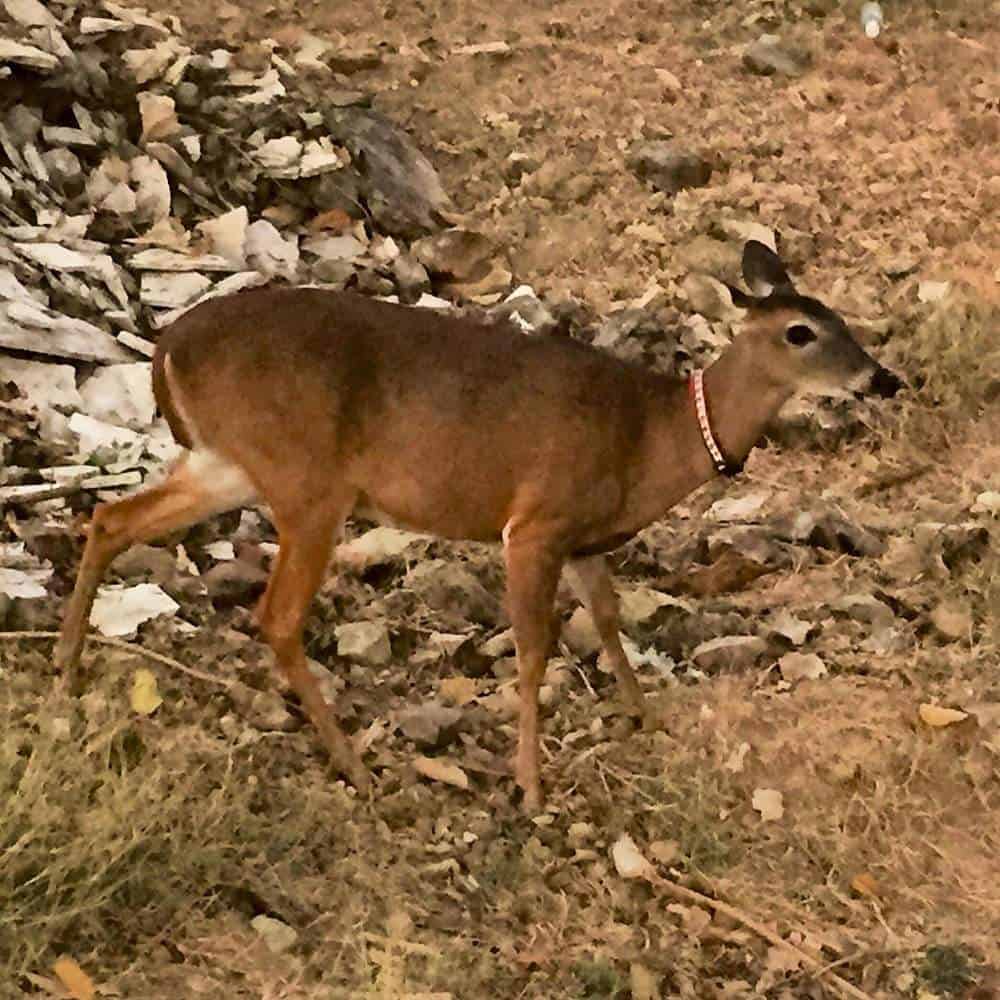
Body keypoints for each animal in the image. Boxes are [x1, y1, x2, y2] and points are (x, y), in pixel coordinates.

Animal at [52, 240, 900, 812]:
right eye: (800, 332)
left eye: (840, 317)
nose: (884, 378)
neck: (651, 438)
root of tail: (167, 346)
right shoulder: (535, 523)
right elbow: (532, 654)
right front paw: (530, 786)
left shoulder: (585, 540)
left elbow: (610, 618)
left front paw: (644, 715)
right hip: (307, 480)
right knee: (277, 615)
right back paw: (355, 765)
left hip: (227, 462)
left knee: (111, 518)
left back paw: (68, 670)